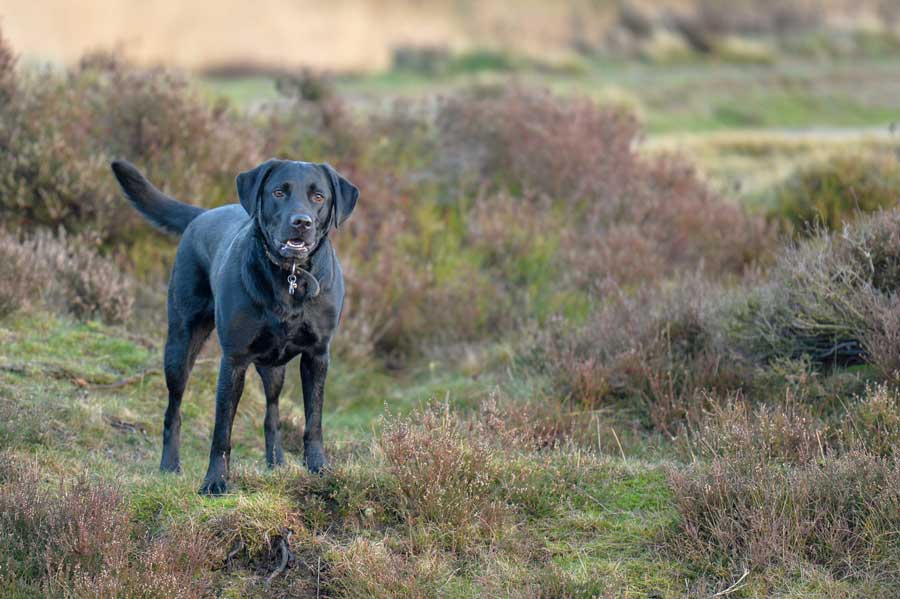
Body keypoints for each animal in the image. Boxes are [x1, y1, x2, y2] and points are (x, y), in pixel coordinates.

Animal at [109, 157, 356, 494]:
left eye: (318, 197)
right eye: (279, 192)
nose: (301, 222)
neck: (289, 276)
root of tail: (202, 214)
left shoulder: (317, 355)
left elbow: (313, 422)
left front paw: (319, 469)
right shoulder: (234, 360)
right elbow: (222, 430)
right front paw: (215, 481)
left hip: (273, 367)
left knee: (272, 411)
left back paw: (277, 463)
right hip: (180, 346)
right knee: (174, 409)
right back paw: (169, 465)